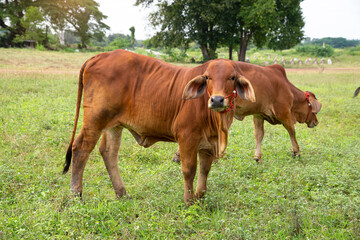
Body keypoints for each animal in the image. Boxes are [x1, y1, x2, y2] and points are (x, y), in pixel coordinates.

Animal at [64, 49, 256, 203]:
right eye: (208, 77)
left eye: (232, 77)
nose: (217, 100)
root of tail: (100, 55)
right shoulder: (187, 137)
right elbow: (189, 169)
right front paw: (189, 201)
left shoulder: (209, 143)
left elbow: (205, 170)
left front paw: (200, 198)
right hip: (95, 119)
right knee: (81, 148)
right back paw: (76, 195)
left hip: (114, 124)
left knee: (108, 152)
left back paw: (122, 193)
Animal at [173, 62, 322, 163]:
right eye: (312, 109)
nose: (316, 122)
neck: (289, 90)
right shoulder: (284, 112)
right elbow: (292, 131)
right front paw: (296, 152)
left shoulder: (259, 114)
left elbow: (259, 135)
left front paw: (257, 157)